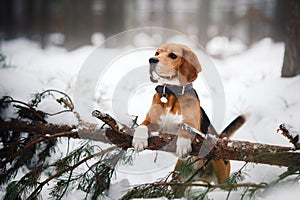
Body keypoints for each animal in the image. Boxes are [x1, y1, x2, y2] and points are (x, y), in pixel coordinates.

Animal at [133, 43, 232, 184]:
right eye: (157, 53)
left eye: (173, 55)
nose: (151, 60)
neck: (171, 93)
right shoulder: (151, 121)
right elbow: (141, 126)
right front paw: (139, 141)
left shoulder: (193, 124)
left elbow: (185, 127)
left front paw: (183, 143)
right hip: (178, 178)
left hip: (222, 177)